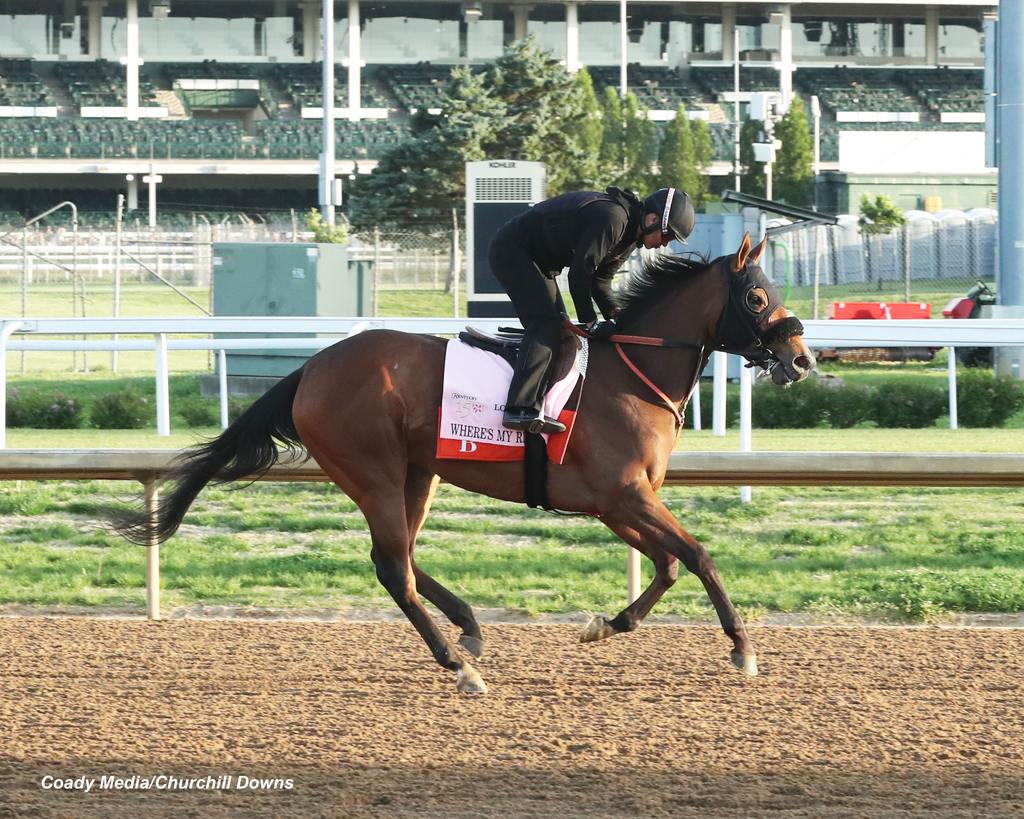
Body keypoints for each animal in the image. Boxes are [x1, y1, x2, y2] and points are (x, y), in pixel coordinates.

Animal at [112, 233, 815, 696]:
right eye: (757, 297)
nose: (802, 358)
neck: (631, 374)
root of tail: (310, 369)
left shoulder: (614, 502)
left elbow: (668, 564)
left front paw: (606, 625)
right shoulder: (624, 495)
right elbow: (698, 555)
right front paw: (743, 649)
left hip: (416, 473)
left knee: (400, 557)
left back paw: (470, 628)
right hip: (374, 471)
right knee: (394, 567)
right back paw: (459, 665)